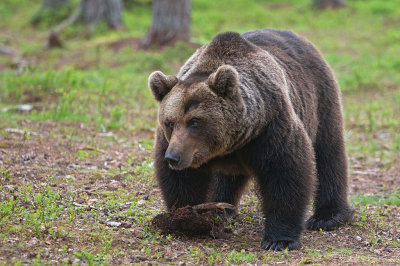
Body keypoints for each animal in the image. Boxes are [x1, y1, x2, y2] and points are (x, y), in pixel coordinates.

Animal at [147, 29, 354, 251]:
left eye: (194, 121)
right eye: (169, 122)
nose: (173, 157)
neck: (232, 142)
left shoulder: (270, 127)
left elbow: (286, 172)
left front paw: (278, 239)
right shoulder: (176, 143)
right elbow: (182, 180)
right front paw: (187, 218)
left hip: (320, 99)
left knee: (328, 154)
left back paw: (327, 216)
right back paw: (221, 210)